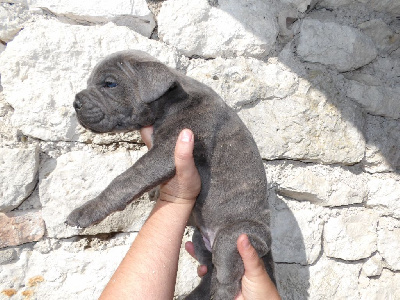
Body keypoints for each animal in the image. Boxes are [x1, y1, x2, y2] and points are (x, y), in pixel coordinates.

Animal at [68, 50, 276, 298]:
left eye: (109, 84)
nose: (75, 103)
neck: (171, 100)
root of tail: (267, 246)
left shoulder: (170, 149)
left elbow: (126, 179)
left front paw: (87, 210)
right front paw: (155, 192)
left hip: (236, 236)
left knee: (227, 280)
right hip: (201, 239)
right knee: (210, 272)